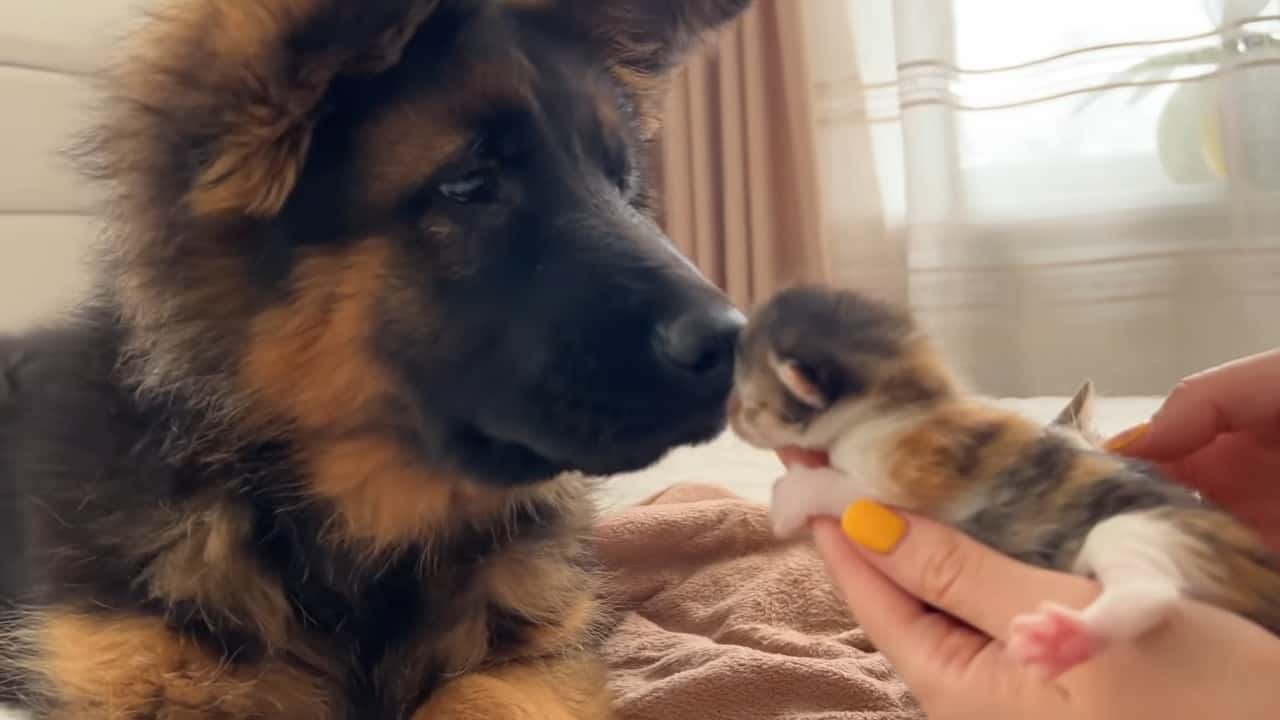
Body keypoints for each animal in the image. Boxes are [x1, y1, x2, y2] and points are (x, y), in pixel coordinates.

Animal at [0, 2, 747, 712]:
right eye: (467, 185)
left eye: (623, 185)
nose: (735, 342)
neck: (362, 532)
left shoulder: (534, 662)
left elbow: (480, 697)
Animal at [732, 283, 1280, 676]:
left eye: (750, 403)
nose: (732, 419)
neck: (908, 399)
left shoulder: (918, 468)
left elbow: (849, 489)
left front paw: (789, 497)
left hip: (1145, 526)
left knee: (1153, 593)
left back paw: (1070, 635)